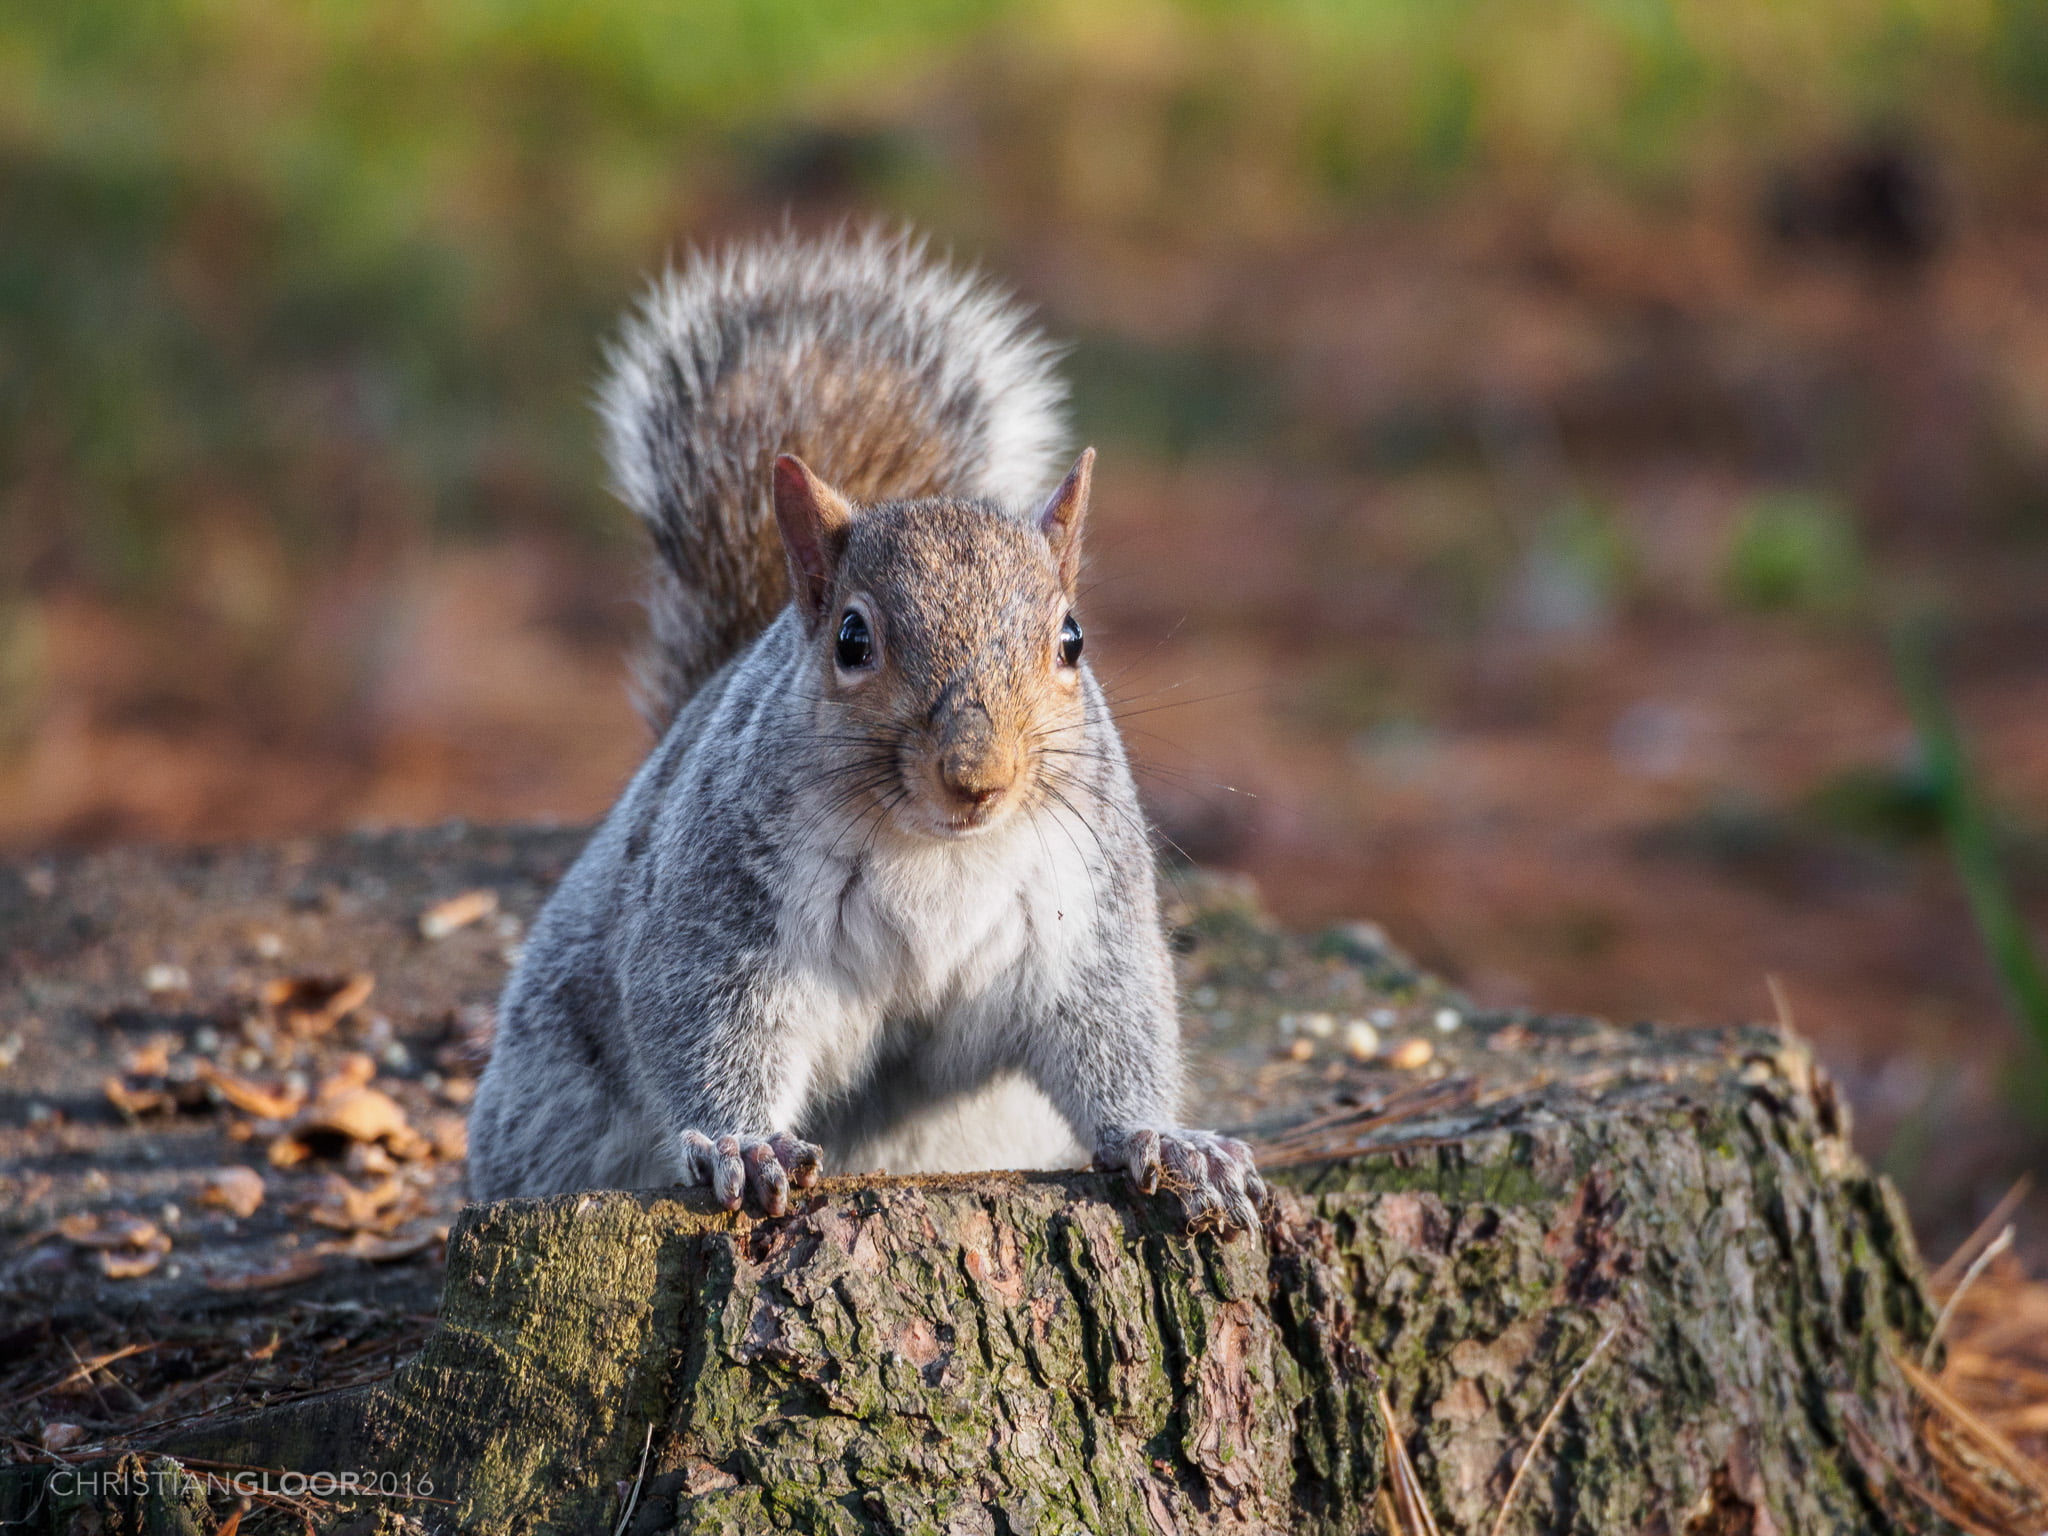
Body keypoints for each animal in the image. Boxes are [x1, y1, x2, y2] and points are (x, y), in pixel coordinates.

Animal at [465, 229, 1265, 1237]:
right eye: (853, 641)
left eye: (1073, 640)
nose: (978, 776)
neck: (938, 853)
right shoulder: (719, 918)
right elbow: (703, 1021)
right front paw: (746, 1144)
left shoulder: (1083, 920)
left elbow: (1114, 1030)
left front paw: (1172, 1142)